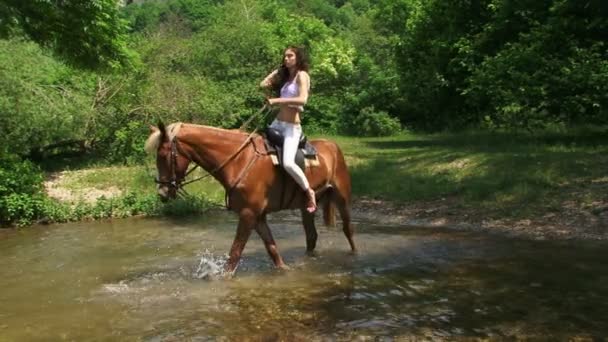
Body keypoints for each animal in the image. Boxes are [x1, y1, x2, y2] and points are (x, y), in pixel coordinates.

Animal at [145, 121, 356, 274]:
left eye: (163, 155)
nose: (162, 192)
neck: (239, 160)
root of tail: (333, 146)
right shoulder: (258, 217)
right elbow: (272, 250)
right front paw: (285, 270)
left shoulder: (248, 215)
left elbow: (235, 254)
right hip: (306, 208)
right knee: (312, 236)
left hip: (342, 199)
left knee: (348, 230)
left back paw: (354, 255)